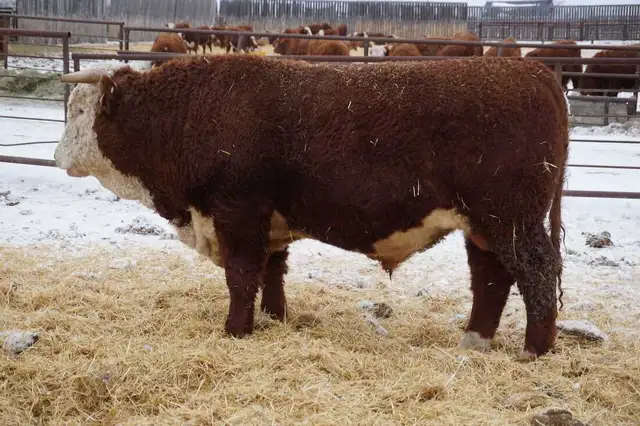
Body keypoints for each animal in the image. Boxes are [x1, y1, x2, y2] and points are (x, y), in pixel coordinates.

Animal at [54, 54, 568, 360]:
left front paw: (236, 330)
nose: (56, 157)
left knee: (537, 274)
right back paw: (474, 341)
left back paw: (534, 351)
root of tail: (530, 70)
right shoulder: (269, 221)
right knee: (491, 278)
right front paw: (273, 319)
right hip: (483, 224)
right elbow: (272, 271)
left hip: (512, 219)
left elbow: (241, 276)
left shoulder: (238, 210)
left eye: (78, 111)